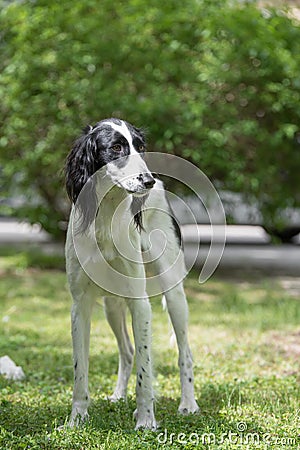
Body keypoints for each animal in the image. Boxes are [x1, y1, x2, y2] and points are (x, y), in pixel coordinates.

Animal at [64, 117, 198, 428]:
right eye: (116, 147)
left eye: (140, 146)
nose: (148, 181)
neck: (105, 216)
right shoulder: (80, 305)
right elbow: (80, 370)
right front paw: (77, 418)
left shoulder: (140, 303)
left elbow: (145, 369)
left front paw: (146, 420)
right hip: (112, 305)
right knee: (127, 352)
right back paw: (118, 395)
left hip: (175, 295)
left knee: (184, 352)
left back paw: (188, 403)